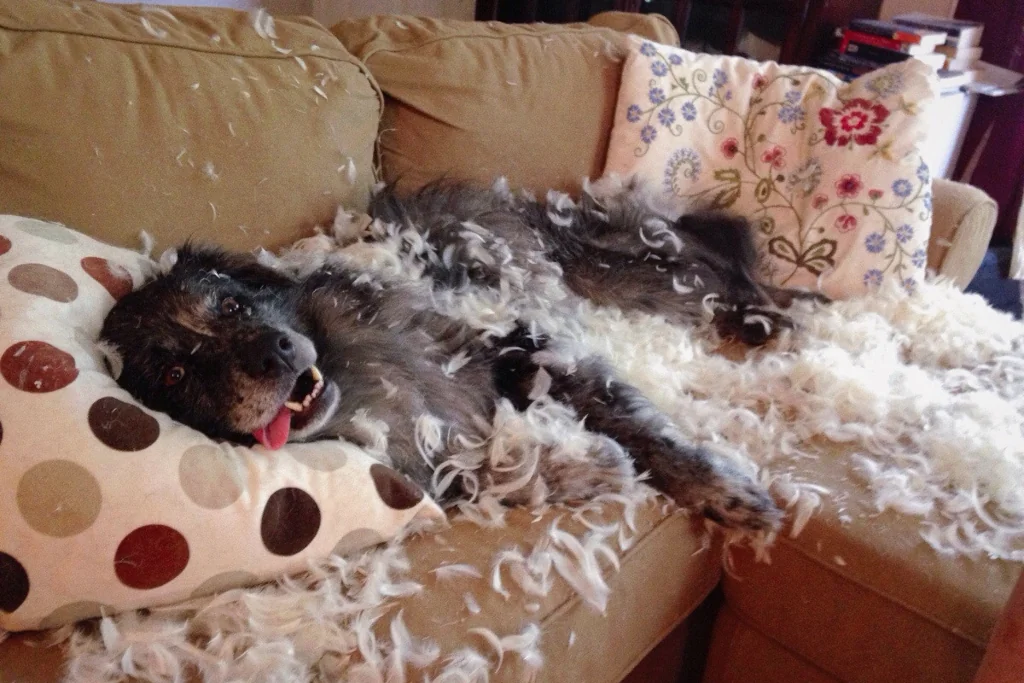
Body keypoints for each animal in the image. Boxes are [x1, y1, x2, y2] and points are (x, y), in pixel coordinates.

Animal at [97, 181, 798, 532]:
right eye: (175, 372)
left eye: (229, 304)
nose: (274, 355)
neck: (361, 377)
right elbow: (498, 471)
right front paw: (589, 469)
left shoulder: (531, 348)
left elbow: (651, 436)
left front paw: (726, 493)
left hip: (622, 277)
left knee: (716, 269)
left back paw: (773, 316)